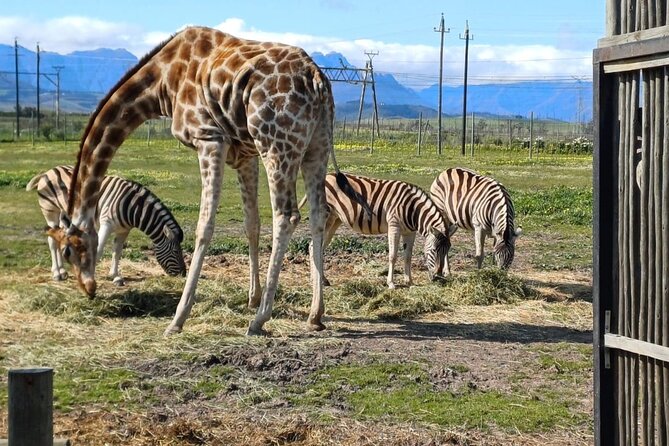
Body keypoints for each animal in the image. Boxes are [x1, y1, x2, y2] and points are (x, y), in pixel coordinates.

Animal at [46, 26, 370, 336]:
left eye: (69, 250)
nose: (88, 288)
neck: (163, 83)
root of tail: (318, 78)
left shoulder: (209, 138)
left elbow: (204, 227)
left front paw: (178, 319)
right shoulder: (245, 154)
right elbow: (251, 224)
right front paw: (251, 297)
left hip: (276, 144)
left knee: (286, 216)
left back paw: (259, 320)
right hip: (316, 146)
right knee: (317, 216)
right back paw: (315, 315)